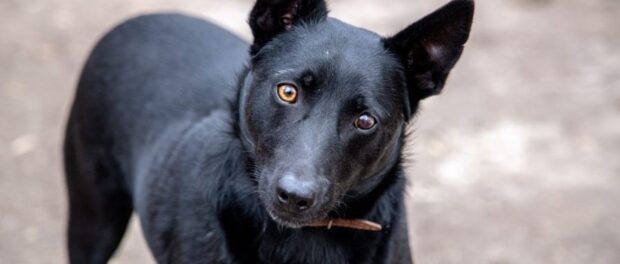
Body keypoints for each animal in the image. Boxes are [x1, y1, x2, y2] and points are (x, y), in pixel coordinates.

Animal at [64, 0, 474, 262]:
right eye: (287, 91)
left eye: (365, 120)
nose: (294, 196)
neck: (302, 239)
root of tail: (141, 19)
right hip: (92, 220)